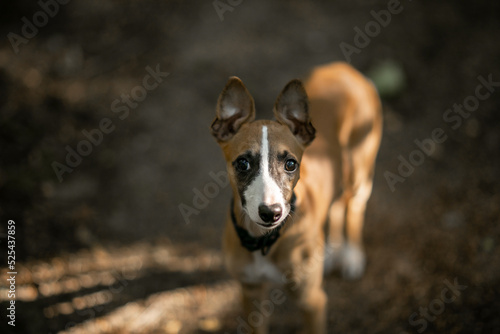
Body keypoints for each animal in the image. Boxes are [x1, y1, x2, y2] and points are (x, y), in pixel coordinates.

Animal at [209, 62, 380, 332]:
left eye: (291, 164)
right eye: (242, 163)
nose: (271, 213)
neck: (264, 242)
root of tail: (343, 68)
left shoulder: (312, 300)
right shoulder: (251, 295)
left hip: (359, 172)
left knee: (354, 207)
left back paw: (352, 256)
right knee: (336, 207)